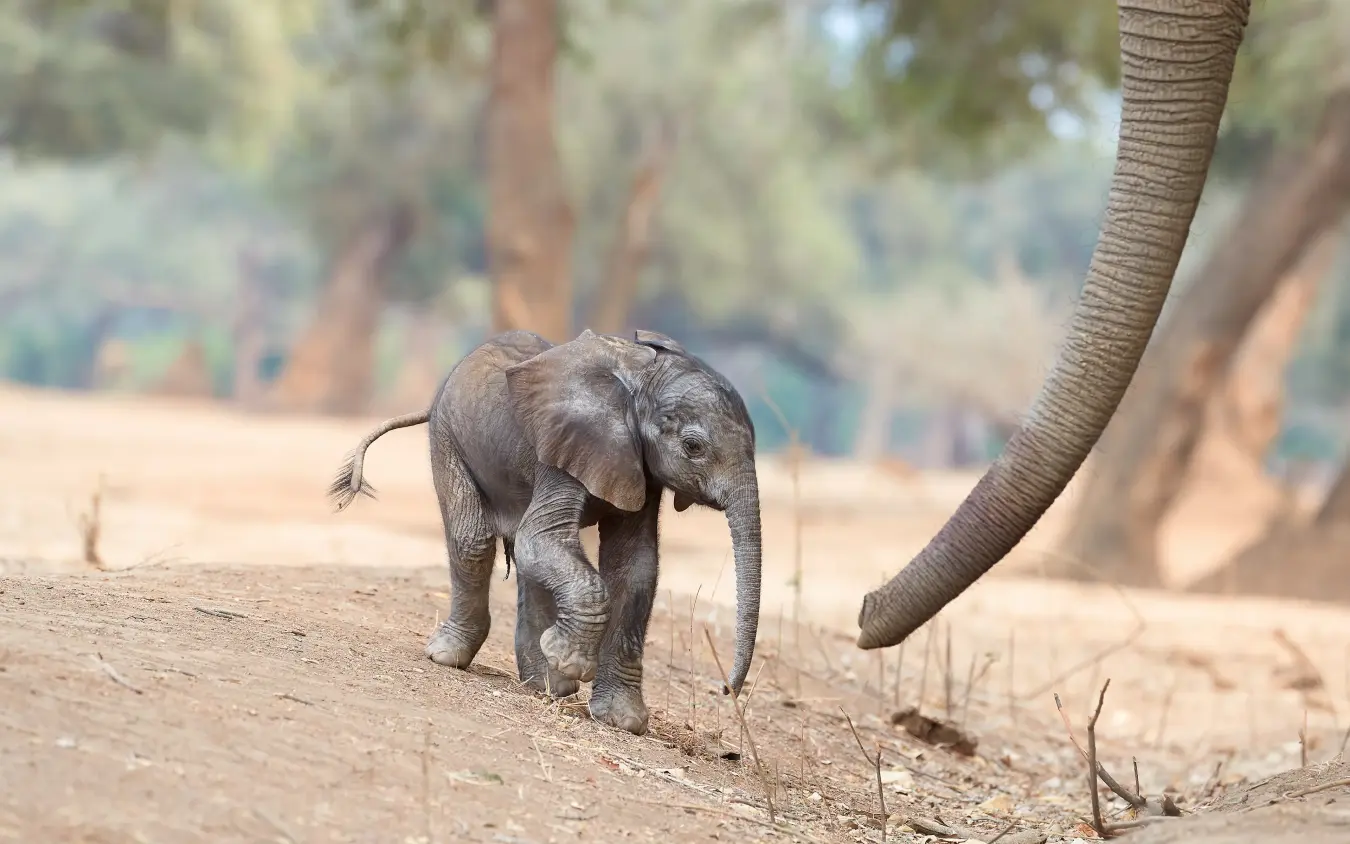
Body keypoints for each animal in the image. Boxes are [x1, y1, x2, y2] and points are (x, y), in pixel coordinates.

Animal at [329, 328, 761, 736]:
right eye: (693, 447)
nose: (725, 690)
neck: (640, 377)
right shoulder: (568, 443)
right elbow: (541, 540)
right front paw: (569, 659)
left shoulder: (639, 466)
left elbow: (635, 568)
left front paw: (621, 721)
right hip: (448, 436)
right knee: (474, 540)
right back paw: (450, 657)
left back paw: (545, 686)